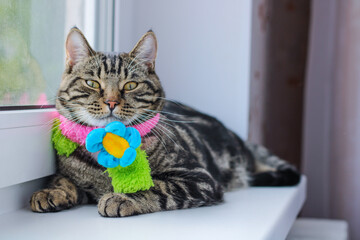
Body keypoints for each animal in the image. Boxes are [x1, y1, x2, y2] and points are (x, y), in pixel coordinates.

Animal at [30, 27, 300, 218]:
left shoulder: (198, 178)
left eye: (131, 85)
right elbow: (63, 179)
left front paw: (122, 197)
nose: (111, 101)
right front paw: (50, 191)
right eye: (92, 83)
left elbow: (156, 186)